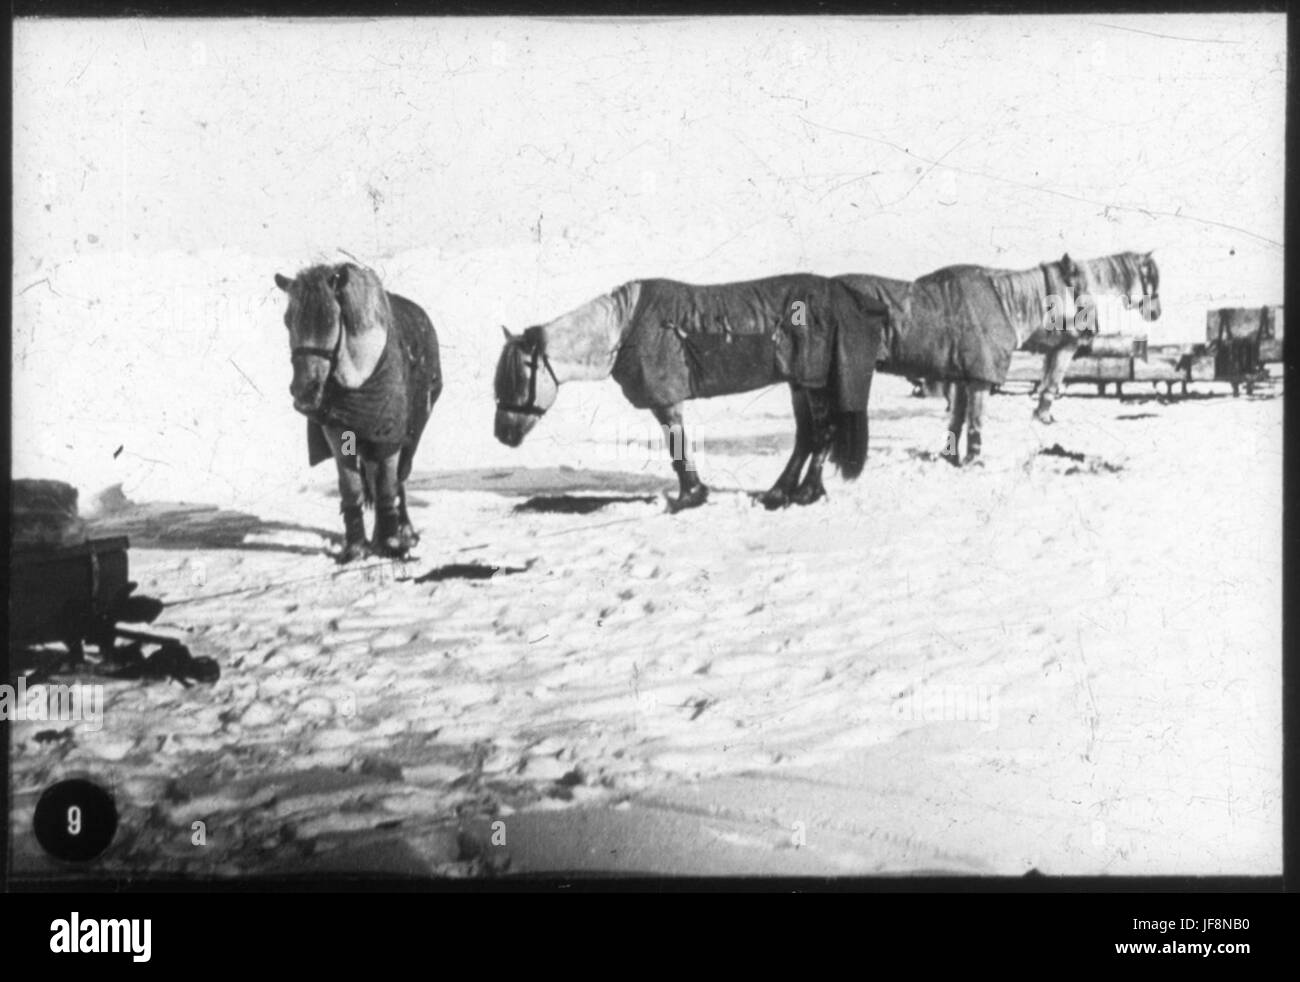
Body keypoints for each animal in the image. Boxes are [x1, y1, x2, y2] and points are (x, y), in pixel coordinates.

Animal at [273, 262, 441, 561]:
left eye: (330, 320)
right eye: (287, 320)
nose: (304, 392)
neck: (358, 374)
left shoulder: (389, 435)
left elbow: (388, 486)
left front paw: (392, 543)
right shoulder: (338, 434)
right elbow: (352, 488)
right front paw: (356, 546)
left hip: (410, 434)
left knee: (398, 479)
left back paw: (404, 530)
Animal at [491, 273, 889, 509]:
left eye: (517, 376)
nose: (502, 435)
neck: (623, 328)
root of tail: (845, 298)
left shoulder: (665, 399)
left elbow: (676, 447)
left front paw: (689, 496)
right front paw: (693, 493)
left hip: (812, 384)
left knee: (822, 434)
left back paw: (803, 493)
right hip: (801, 384)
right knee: (807, 437)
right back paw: (782, 491)